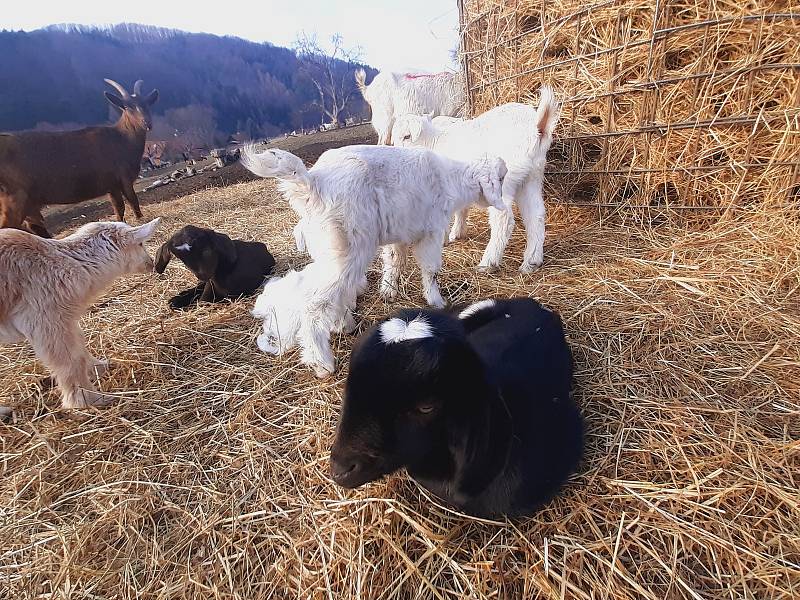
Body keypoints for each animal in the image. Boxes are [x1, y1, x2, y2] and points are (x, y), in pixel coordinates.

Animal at [0, 79, 159, 237]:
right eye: (126, 106)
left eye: (146, 103)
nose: (147, 123)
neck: (121, 139)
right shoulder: (123, 177)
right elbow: (133, 201)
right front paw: (140, 221)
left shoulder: (112, 185)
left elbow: (119, 208)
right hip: (14, 199)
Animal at [0, 218, 161, 414]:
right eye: (140, 244)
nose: (151, 263)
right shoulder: (44, 319)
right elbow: (70, 361)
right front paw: (88, 399)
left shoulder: (64, 319)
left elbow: (80, 345)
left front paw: (99, 367)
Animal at [242, 144, 506, 376]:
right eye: (502, 178)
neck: (449, 178)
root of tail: (312, 183)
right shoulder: (430, 232)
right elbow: (431, 269)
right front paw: (437, 301)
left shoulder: (399, 234)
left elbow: (394, 261)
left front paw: (388, 291)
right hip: (348, 250)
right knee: (313, 304)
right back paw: (322, 363)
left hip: (331, 253)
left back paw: (344, 325)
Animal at [390, 85, 560, 274]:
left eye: (406, 137)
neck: (432, 142)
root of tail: (536, 128)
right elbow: (461, 209)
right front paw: (456, 233)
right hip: (531, 177)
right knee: (536, 215)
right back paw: (531, 261)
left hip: (504, 181)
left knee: (503, 219)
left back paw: (488, 262)